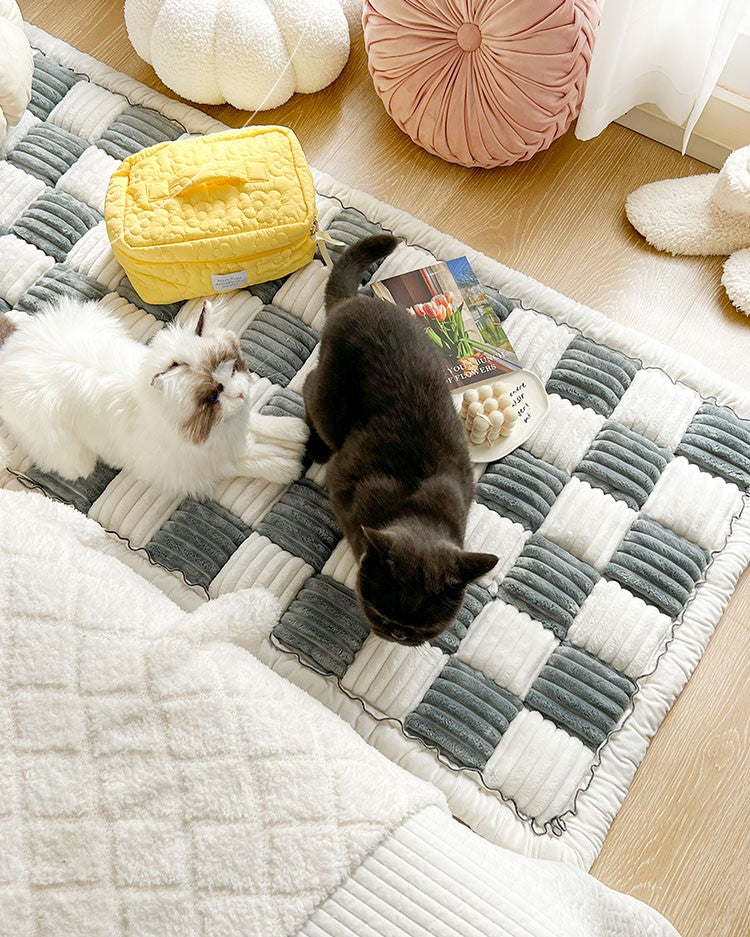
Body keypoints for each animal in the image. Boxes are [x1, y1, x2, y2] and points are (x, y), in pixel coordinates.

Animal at [0, 297, 307, 498]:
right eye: (212, 397)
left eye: (233, 368)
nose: (242, 393)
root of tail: (11, 355)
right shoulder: (201, 466)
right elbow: (248, 460)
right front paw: (288, 465)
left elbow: (258, 422)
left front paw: (296, 430)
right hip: (70, 455)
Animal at [304, 234, 498, 646]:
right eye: (379, 610)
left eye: (426, 626)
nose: (398, 634)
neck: (416, 509)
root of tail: (357, 301)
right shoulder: (343, 483)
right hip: (328, 400)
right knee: (310, 389)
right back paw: (315, 446)